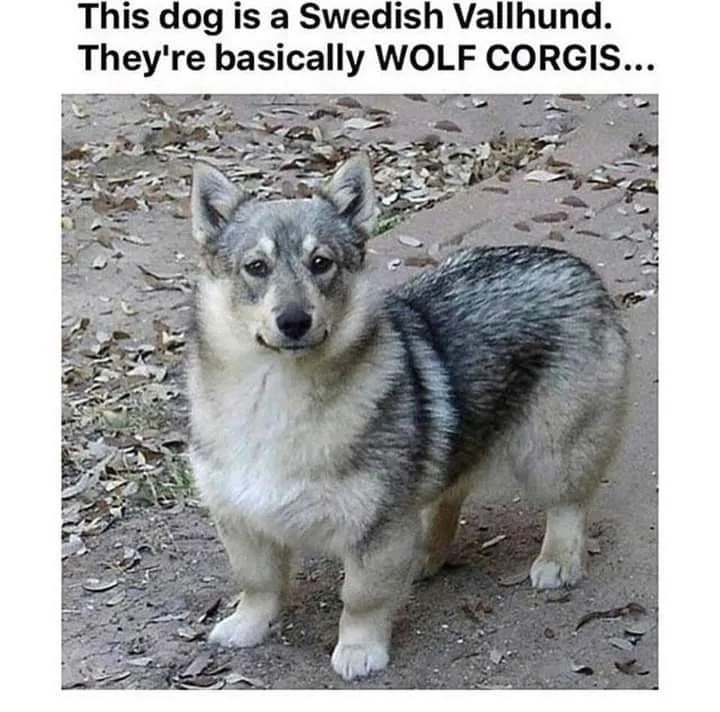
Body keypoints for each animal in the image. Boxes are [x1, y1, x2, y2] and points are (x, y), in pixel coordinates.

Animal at [186, 154, 629, 681]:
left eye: (321, 263)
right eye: (256, 267)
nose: (293, 321)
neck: (275, 391)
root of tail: (578, 267)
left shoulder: (376, 527)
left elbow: (361, 597)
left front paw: (359, 649)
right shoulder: (240, 519)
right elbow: (258, 583)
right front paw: (247, 625)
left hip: (550, 452)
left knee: (567, 506)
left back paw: (558, 560)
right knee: (447, 497)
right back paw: (425, 554)